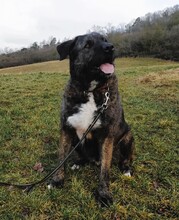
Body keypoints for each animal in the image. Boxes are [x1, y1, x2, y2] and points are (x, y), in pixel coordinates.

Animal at [50, 31, 134, 205]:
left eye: (105, 40)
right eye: (87, 45)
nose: (110, 47)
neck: (90, 91)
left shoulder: (107, 137)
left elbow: (105, 171)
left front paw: (103, 194)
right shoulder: (66, 130)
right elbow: (61, 158)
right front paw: (57, 180)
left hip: (128, 137)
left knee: (125, 158)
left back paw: (126, 169)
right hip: (75, 140)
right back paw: (79, 163)